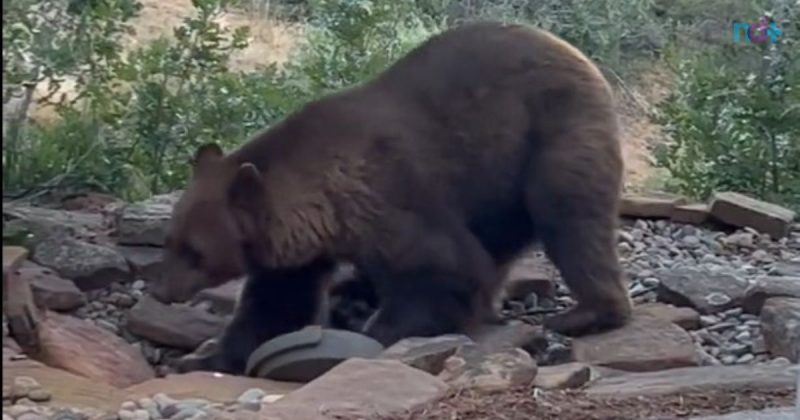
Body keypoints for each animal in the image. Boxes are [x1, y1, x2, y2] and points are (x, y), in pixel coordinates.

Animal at [148, 20, 633, 375]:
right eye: (169, 239)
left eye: (194, 251)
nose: (161, 289)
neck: (321, 207)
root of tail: (581, 58)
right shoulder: (293, 251)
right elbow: (274, 305)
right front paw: (202, 357)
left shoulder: (388, 197)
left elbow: (443, 266)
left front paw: (378, 332)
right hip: (499, 189)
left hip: (551, 136)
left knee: (571, 220)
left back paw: (585, 313)